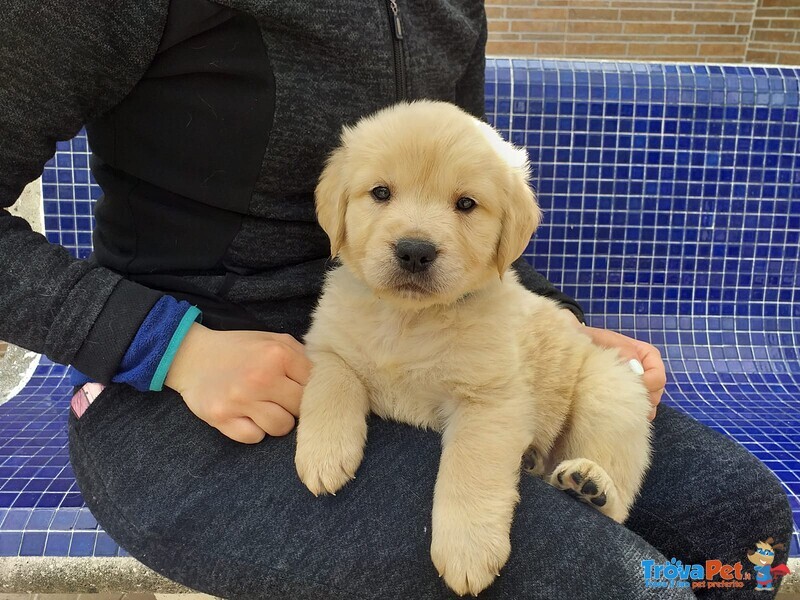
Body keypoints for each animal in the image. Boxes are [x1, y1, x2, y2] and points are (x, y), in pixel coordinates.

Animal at [294, 99, 648, 596]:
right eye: (380, 193)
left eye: (465, 204)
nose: (415, 251)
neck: (409, 320)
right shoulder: (328, 346)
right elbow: (333, 384)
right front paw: (324, 455)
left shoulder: (490, 400)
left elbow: (470, 468)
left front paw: (468, 551)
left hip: (609, 395)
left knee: (619, 505)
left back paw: (589, 484)